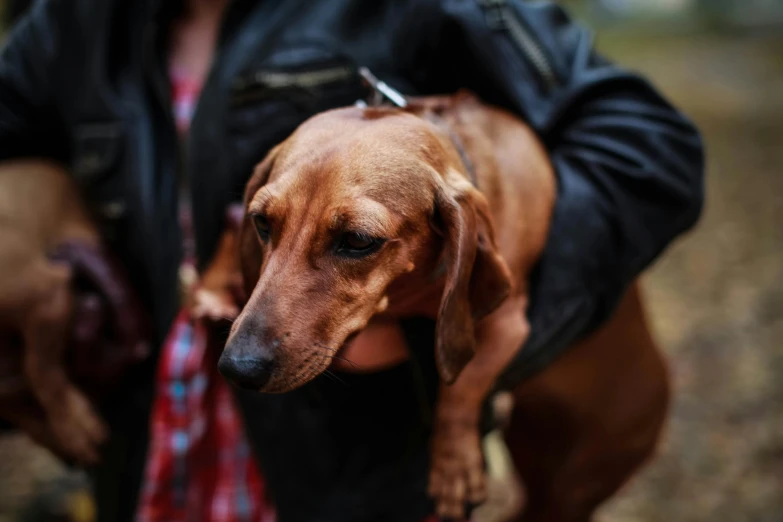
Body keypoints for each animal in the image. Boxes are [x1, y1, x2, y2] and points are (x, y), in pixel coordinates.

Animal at [220, 91, 668, 516]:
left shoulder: (509, 325)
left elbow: (465, 379)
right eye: (262, 222)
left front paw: (453, 464)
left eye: (359, 240)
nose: (239, 369)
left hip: (574, 487)